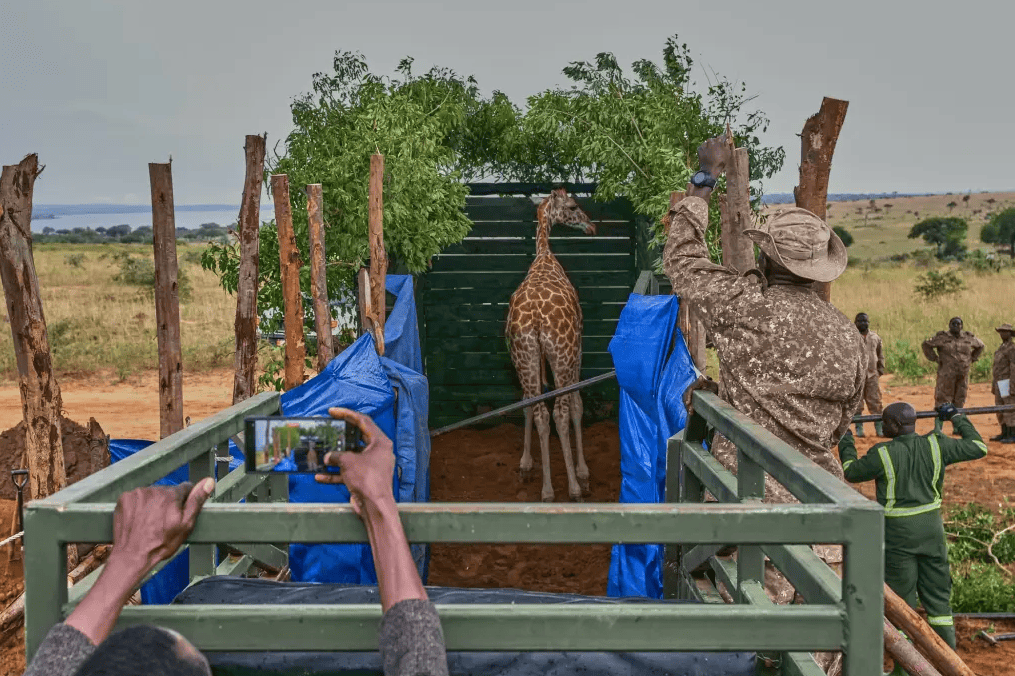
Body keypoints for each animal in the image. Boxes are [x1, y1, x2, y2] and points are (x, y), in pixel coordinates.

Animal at [506, 187, 596, 502]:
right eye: (573, 205)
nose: (591, 226)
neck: (545, 255)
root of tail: (535, 319)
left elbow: (527, 406)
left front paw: (526, 463)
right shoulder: (577, 348)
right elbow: (577, 405)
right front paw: (582, 472)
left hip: (524, 355)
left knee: (540, 411)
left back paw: (546, 490)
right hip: (562, 355)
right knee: (560, 412)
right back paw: (573, 488)